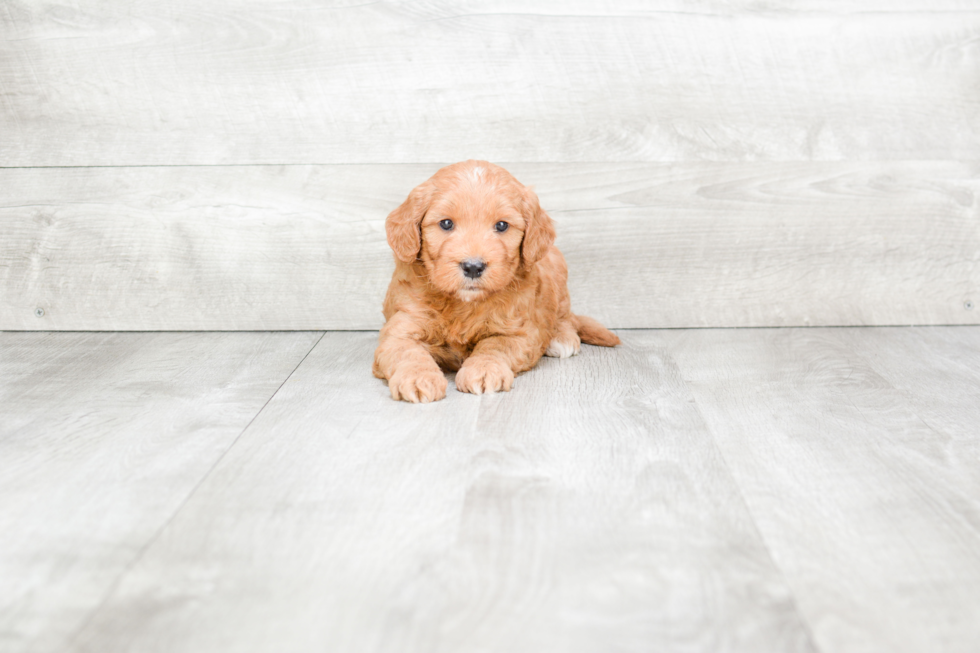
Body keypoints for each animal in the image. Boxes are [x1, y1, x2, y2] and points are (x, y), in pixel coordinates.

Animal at [376, 159, 620, 402]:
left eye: (501, 225)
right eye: (445, 223)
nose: (473, 266)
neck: (463, 306)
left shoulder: (518, 331)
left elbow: (495, 345)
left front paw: (483, 369)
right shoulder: (404, 324)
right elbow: (407, 351)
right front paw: (418, 378)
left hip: (558, 271)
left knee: (564, 315)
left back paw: (561, 338)